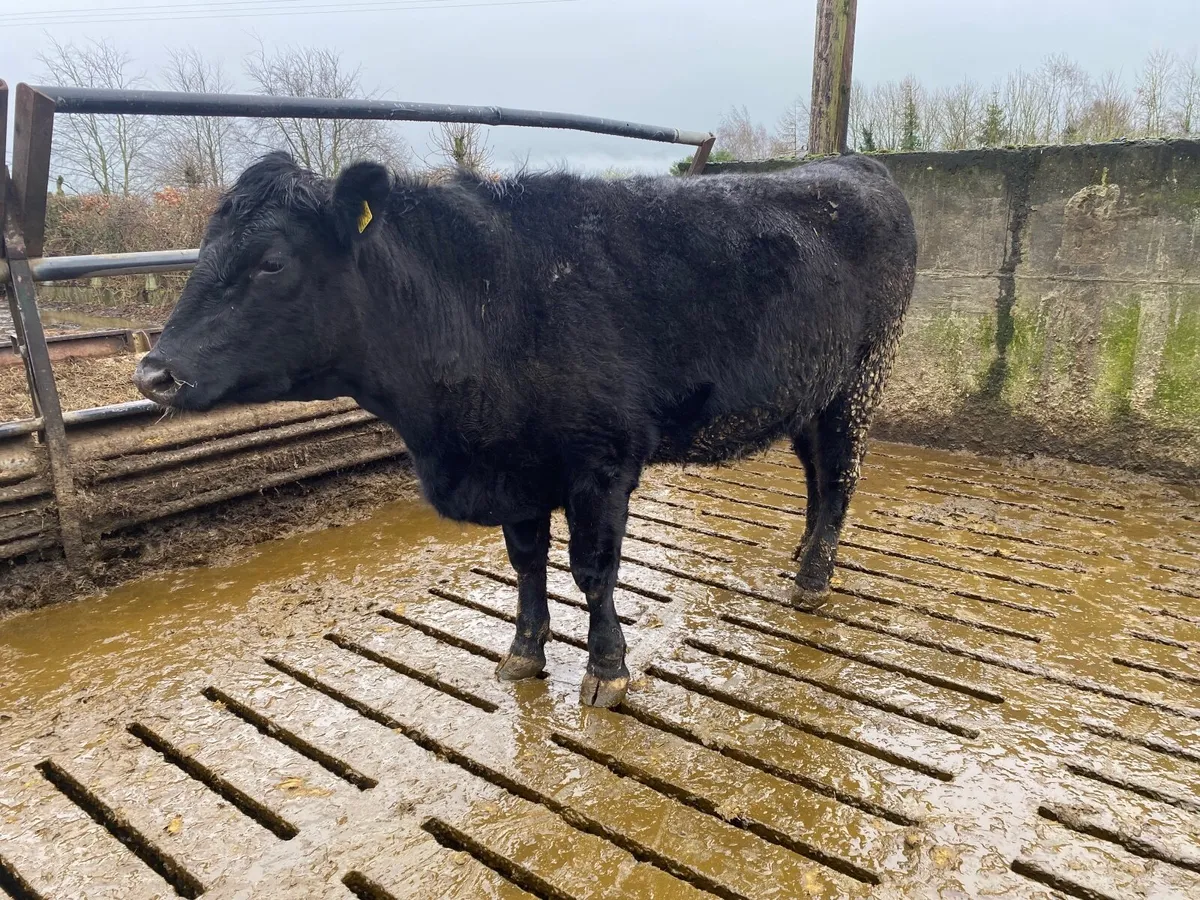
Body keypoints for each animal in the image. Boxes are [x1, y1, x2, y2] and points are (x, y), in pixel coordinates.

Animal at [134, 150, 917, 707]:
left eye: (271, 261)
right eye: (203, 251)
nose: (153, 373)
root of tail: (854, 164)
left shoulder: (600, 463)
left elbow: (592, 570)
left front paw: (607, 670)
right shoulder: (513, 467)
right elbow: (527, 562)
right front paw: (523, 652)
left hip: (862, 375)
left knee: (840, 474)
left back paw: (813, 578)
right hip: (812, 390)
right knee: (816, 471)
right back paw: (804, 555)